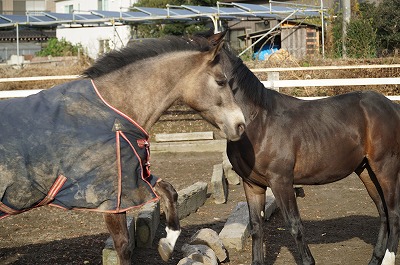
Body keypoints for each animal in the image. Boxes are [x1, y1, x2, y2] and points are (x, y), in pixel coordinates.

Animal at [0, 32, 245, 262]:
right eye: (221, 81)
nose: (240, 125)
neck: (114, 109)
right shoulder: (113, 197)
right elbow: (124, 246)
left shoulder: (136, 178)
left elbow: (169, 191)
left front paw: (166, 245)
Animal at [205, 31, 398, 264]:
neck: (257, 120)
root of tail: (391, 106)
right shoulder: (252, 184)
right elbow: (257, 227)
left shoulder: (281, 182)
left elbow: (295, 225)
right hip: (366, 171)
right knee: (383, 213)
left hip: (386, 169)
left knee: (394, 214)